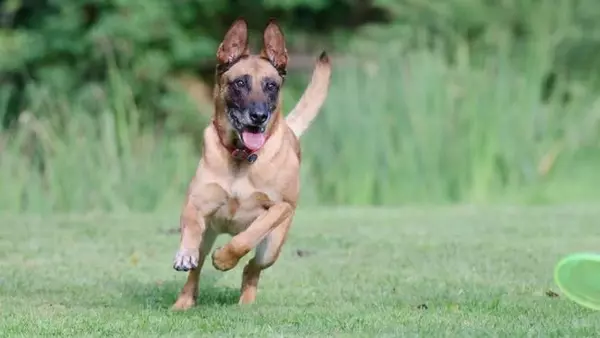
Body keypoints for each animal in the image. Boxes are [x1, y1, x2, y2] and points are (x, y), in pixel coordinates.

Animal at [170, 17, 332, 310]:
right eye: (240, 83)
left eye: (271, 86)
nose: (258, 116)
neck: (241, 157)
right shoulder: (196, 202)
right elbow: (190, 225)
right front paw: (184, 254)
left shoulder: (280, 207)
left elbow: (249, 235)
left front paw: (224, 258)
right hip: (208, 236)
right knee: (196, 270)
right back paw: (184, 301)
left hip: (272, 247)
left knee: (252, 268)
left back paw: (245, 301)